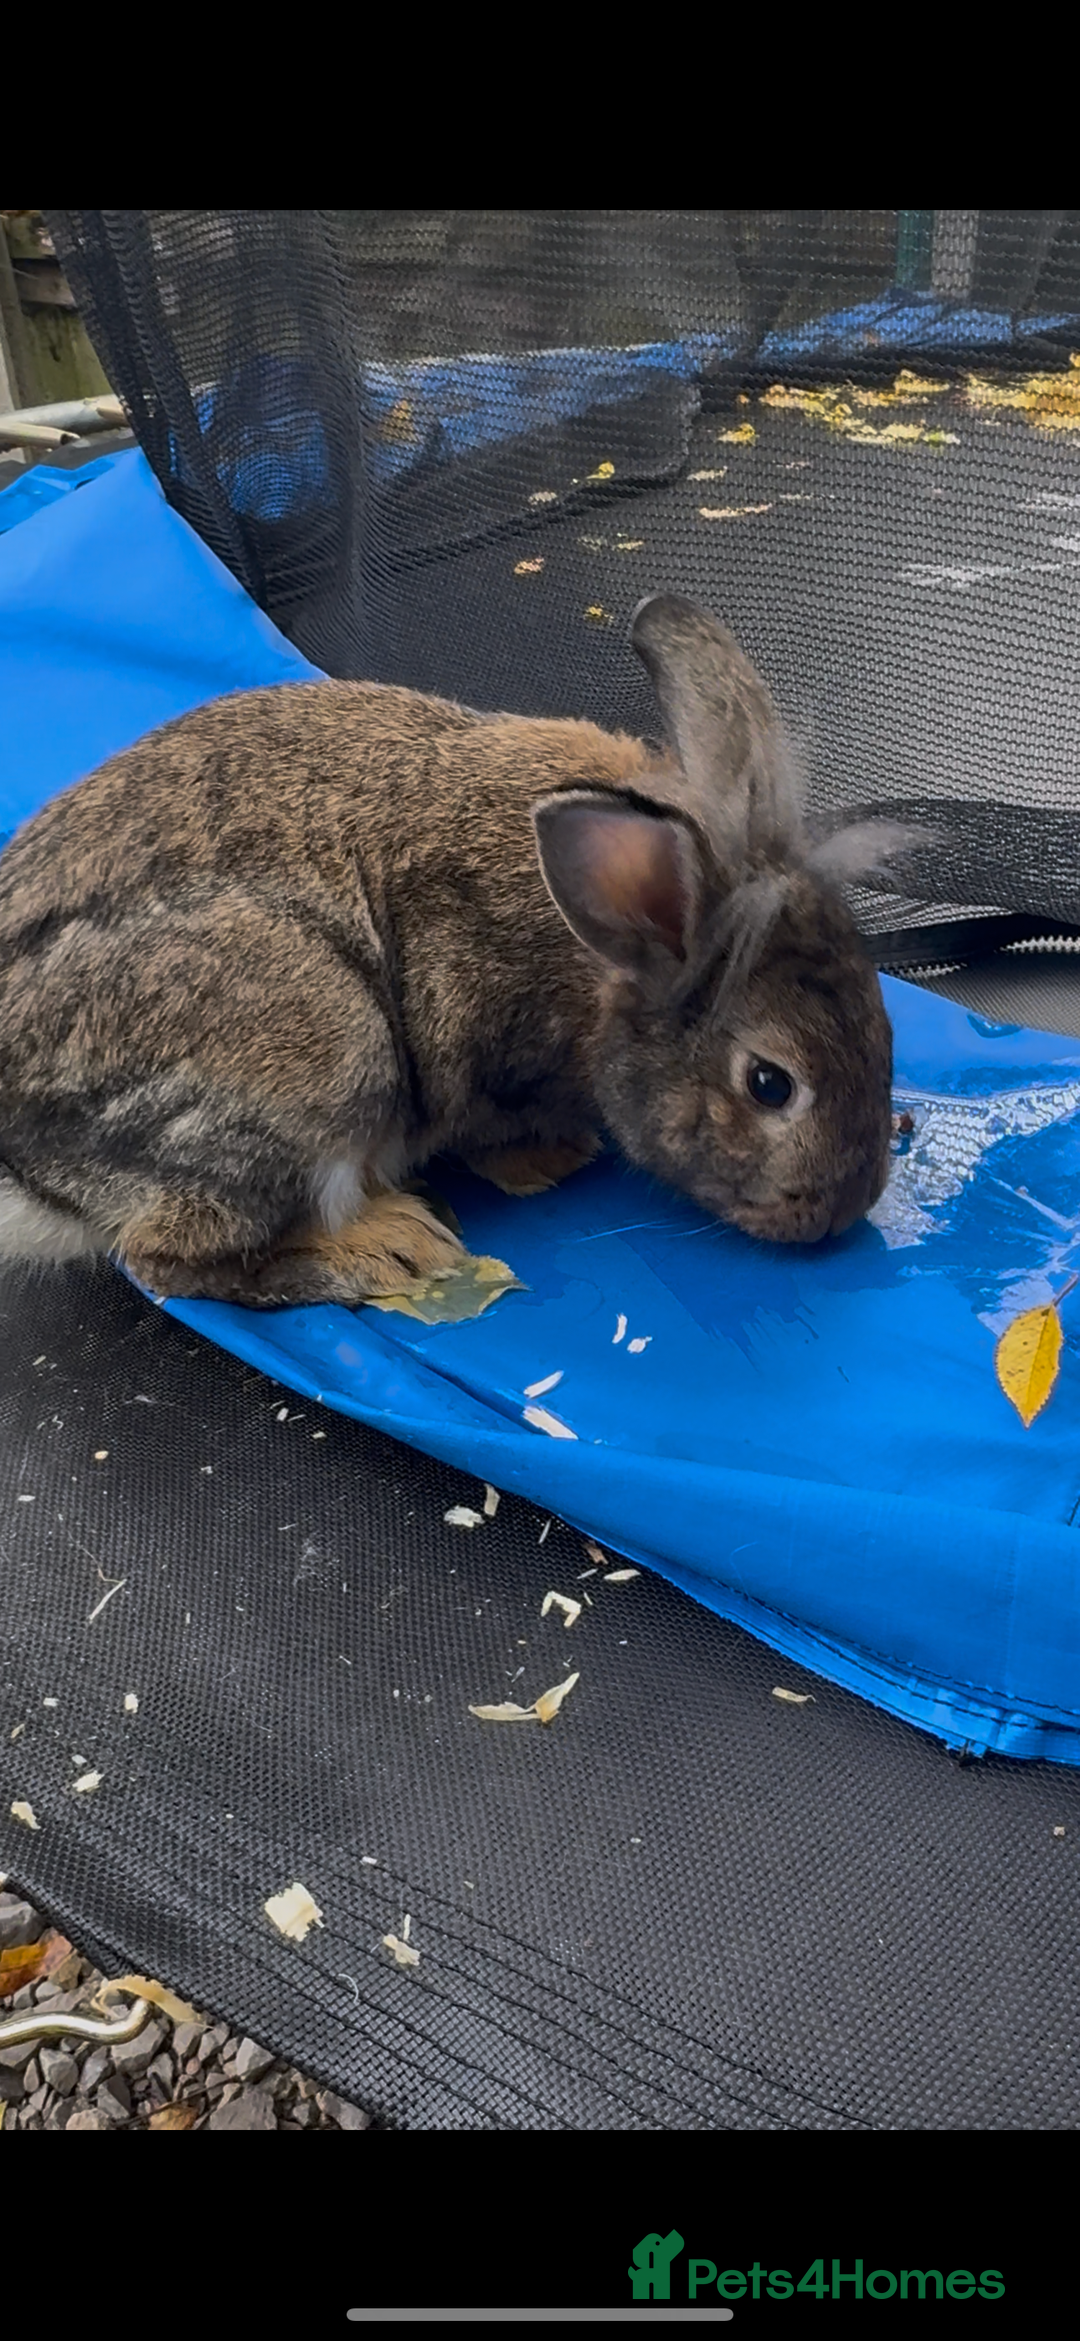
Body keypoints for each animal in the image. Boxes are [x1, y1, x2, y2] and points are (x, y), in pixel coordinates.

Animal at [0, 593, 908, 1310]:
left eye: (884, 1027)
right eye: (769, 1083)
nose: (842, 1210)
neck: (600, 968)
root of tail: (24, 1165)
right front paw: (546, 1158)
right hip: (325, 1048)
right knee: (167, 1257)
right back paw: (389, 1248)